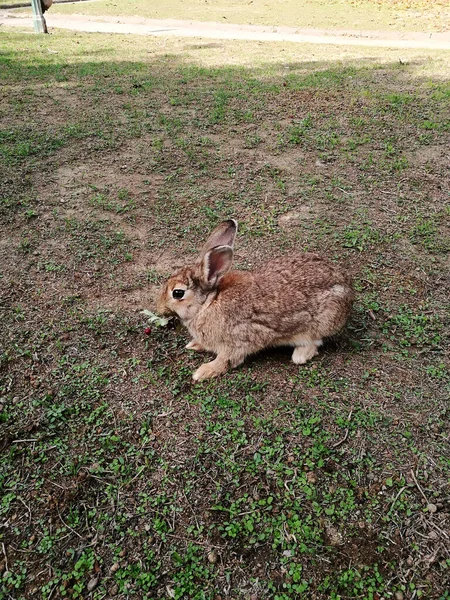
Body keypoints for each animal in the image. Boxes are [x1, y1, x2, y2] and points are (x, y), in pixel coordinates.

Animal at [156, 219, 354, 380]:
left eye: (177, 293)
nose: (159, 308)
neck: (208, 303)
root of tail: (347, 287)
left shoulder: (237, 342)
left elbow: (226, 360)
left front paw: (203, 372)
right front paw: (195, 345)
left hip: (319, 322)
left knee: (315, 341)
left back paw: (300, 355)